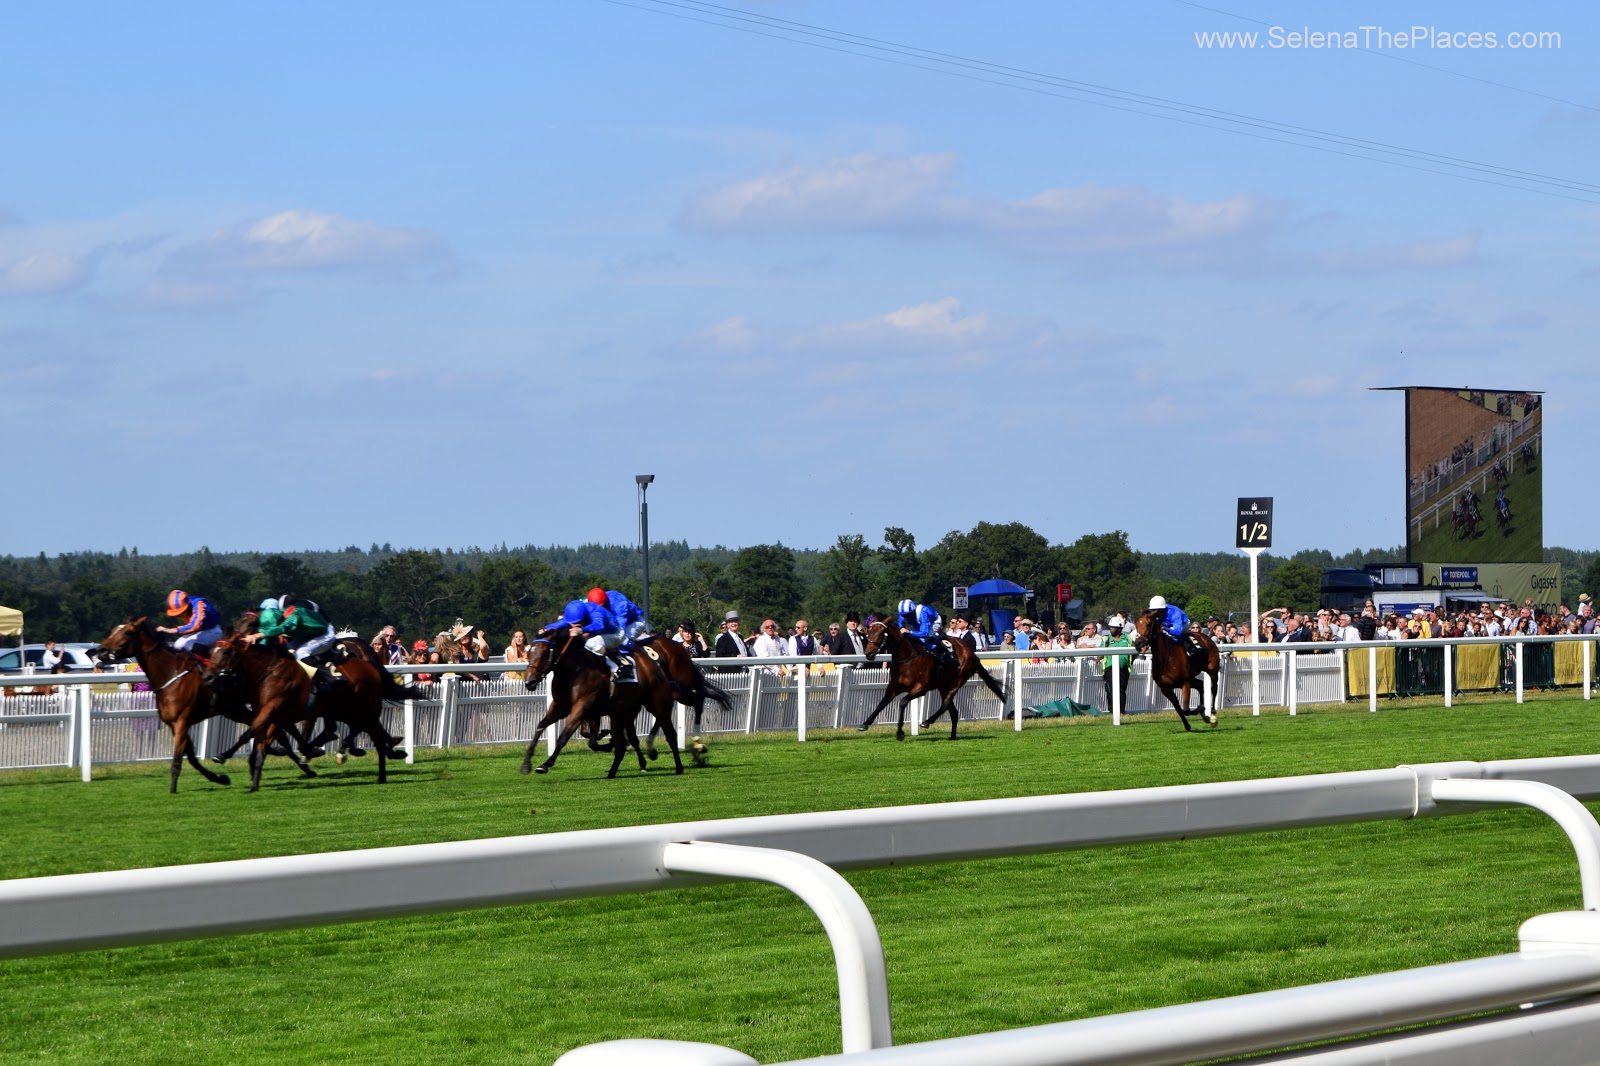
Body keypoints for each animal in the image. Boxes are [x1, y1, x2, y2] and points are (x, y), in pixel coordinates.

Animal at [91, 614, 318, 787]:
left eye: (127, 633)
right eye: (113, 629)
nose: (101, 651)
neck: (170, 674)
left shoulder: (182, 721)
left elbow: (179, 758)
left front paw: (174, 787)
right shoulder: (175, 723)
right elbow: (191, 757)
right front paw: (219, 778)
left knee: (284, 730)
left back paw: (306, 757)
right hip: (236, 709)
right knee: (278, 732)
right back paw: (294, 756)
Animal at [203, 630, 406, 787]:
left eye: (226, 653)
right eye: (211, 652)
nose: (209, 678)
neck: (269, 669)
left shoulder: (277, 709)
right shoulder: (273, 711)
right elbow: (284, 735)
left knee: (363, 726)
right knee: (358, 726)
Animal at [518, 627, 681, 777]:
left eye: (544, 653)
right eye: (528, 654)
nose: (529, 682)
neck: (574, 671)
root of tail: (655, 665)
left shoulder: (581, 707)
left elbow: (564, 737)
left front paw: (545, 764)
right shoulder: (561, 707)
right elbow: (540, 727)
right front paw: (526, 764)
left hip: (658, 707)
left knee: (670, 734)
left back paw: (678, 767)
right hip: (621, 713)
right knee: (623, 744)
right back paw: (613, 771)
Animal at [857, 614, 1004, 739]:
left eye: (881, 633)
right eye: (868, 632)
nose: (868, 653)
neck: (908, 659)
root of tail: (970, 651)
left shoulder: (921, 688)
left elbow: (903, 702)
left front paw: (900, 733)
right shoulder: (893, 687)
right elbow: (882, 703)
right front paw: (864, 724)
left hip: (958, 680)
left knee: (945, 704)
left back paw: (927, 721)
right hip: (943, 685)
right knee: (953, 711)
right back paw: (952, 736)